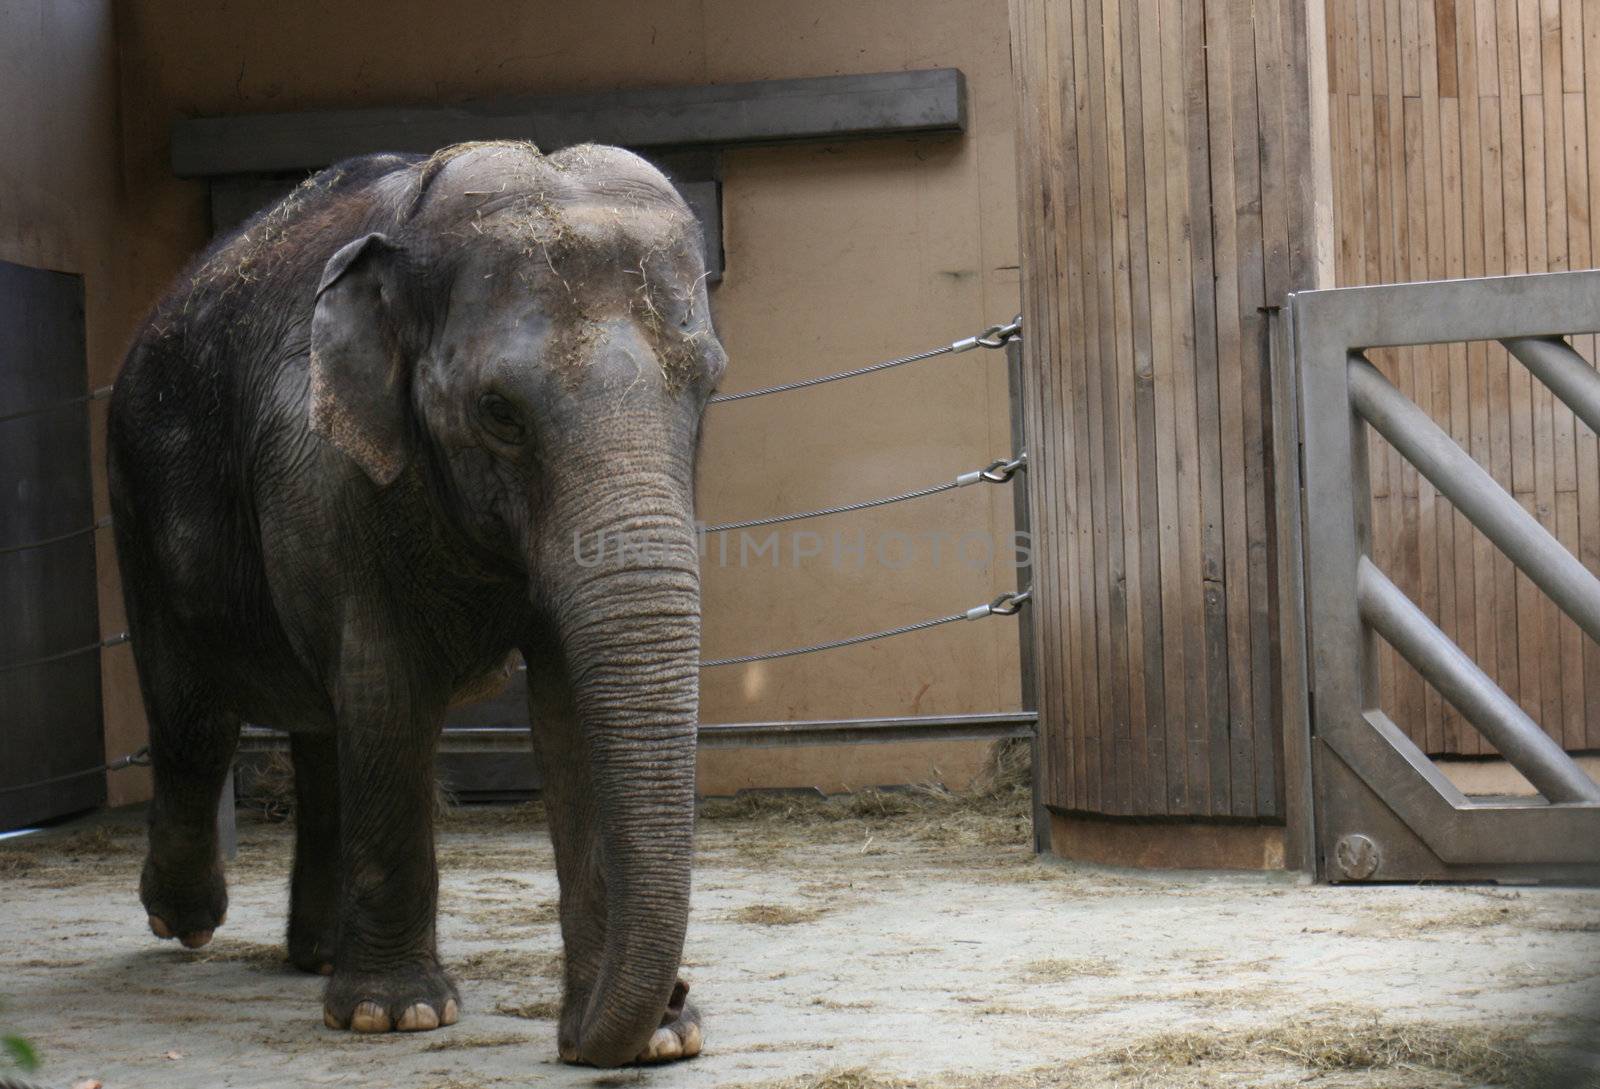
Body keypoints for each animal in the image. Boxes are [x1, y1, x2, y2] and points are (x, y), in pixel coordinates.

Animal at [104, 139, 720, 1068]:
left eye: (709, 387)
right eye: (498, 412)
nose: (575, 1038)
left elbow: (569, 707)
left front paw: (656, 1040)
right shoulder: (321, 469)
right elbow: (389, 690)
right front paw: (394, 1016)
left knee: (322, 730)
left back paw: (318, 955)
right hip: (139, 502)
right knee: (194, 717)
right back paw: (187, 919)